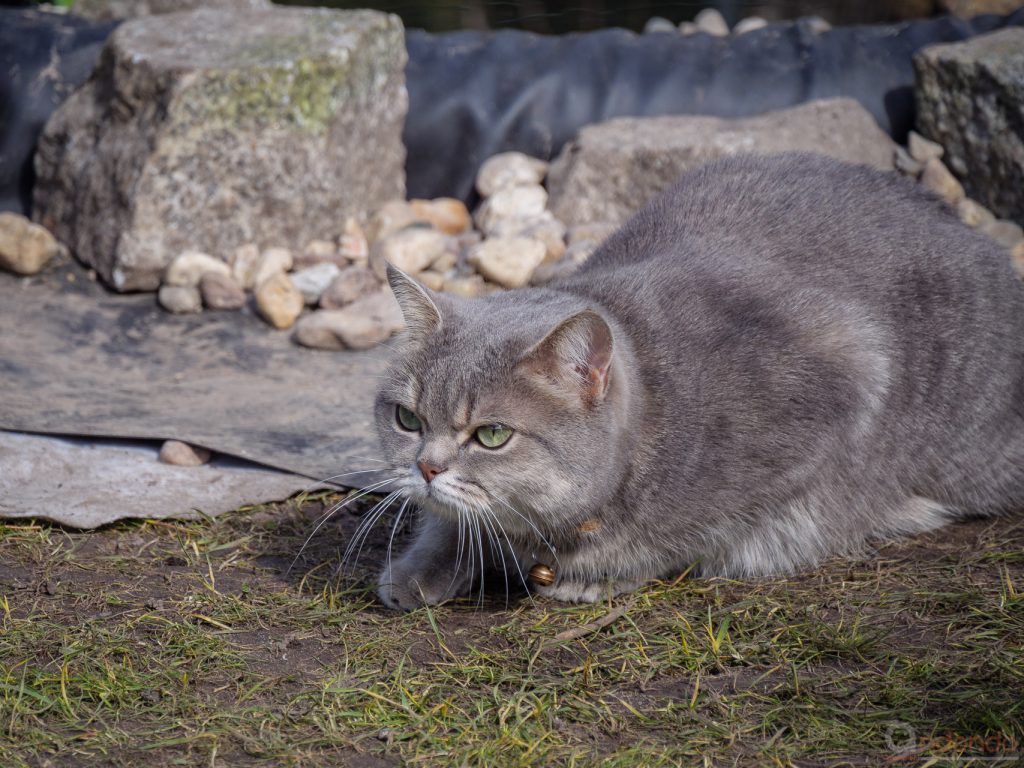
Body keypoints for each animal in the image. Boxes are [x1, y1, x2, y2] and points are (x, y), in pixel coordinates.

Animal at [372, 153, 1024, 614]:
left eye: (492, 435)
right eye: (408, 419)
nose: (426, 467)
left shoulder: (843, 380)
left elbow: (682, 536)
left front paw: (595, 574)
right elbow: (448, 519)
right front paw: (420, 569)